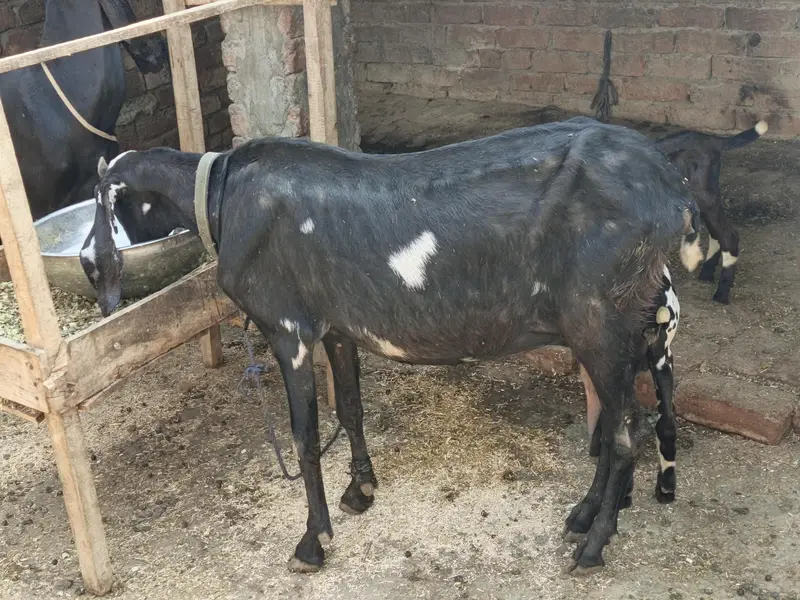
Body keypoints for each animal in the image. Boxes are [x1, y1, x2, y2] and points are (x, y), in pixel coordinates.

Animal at [81, 117, 702, 576]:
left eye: (106, 204)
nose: (90, 265)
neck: (222, 196)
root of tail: (672, 190)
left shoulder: (288, 331)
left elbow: (305, 439)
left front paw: (312, 542)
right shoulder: (335, 328)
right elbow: (351, 408)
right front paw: (360, 490)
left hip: (601, 322)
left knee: (623, 433)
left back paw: (592, 547)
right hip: (609, 331)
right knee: (620, 424)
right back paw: (584, 516)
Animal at [654, 120, 768, 304]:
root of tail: (710, 139)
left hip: (705, 197)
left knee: (729, 235)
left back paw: (722, 293)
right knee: (716, 234)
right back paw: (706, 273)